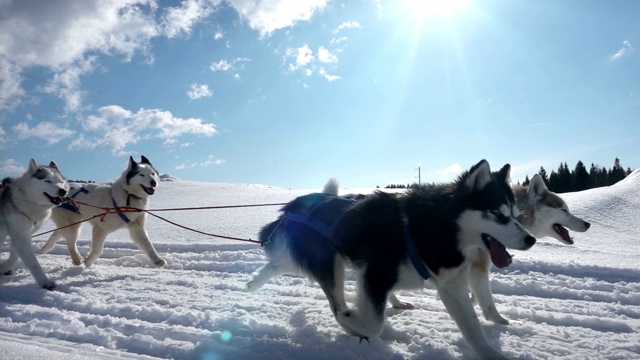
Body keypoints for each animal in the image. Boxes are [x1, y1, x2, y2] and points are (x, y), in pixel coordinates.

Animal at [0, 159, 69, 288]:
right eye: (47, 181)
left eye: (61, 182)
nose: (63, 191)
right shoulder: (20, 236)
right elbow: (33, 263)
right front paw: (45, 282)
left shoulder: (20, 235)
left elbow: (14, 257)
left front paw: (3, 267)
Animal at [250, 161, 536, 360]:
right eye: (498, 215)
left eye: (515, 214)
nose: (531, 239)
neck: (434, 226)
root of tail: (297, 205)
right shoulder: (377, 274)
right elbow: (371, 324)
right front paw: (351, 322)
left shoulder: (451, 286)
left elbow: (474, 330)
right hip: (331, 263)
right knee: (327, 294)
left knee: (283, 263)